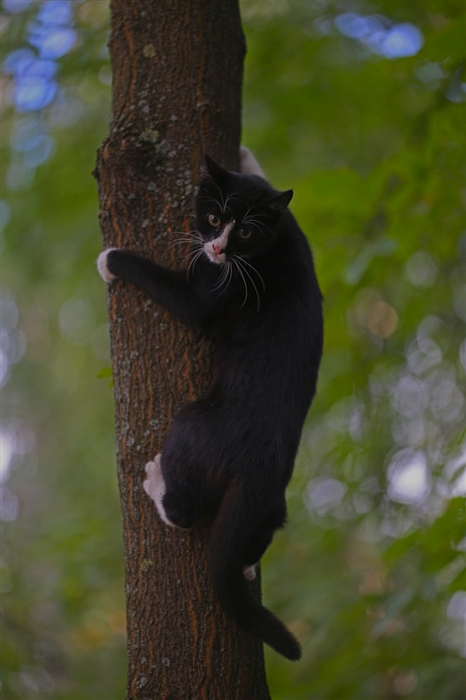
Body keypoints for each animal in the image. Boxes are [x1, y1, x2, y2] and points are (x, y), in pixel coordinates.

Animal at [97, 148, 324, 660]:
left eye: (245, 232)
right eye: (217, 217)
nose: (218, 250)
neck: (275, 243)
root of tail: (259, 469)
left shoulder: (207, 295)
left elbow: (179, 295)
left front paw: (111, 259)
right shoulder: (291, 219)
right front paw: (244, 156)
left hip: (190, 422)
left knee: (184, 512)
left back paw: (155, 480)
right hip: (271, 505)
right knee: (260, 531)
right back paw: (244, 565)